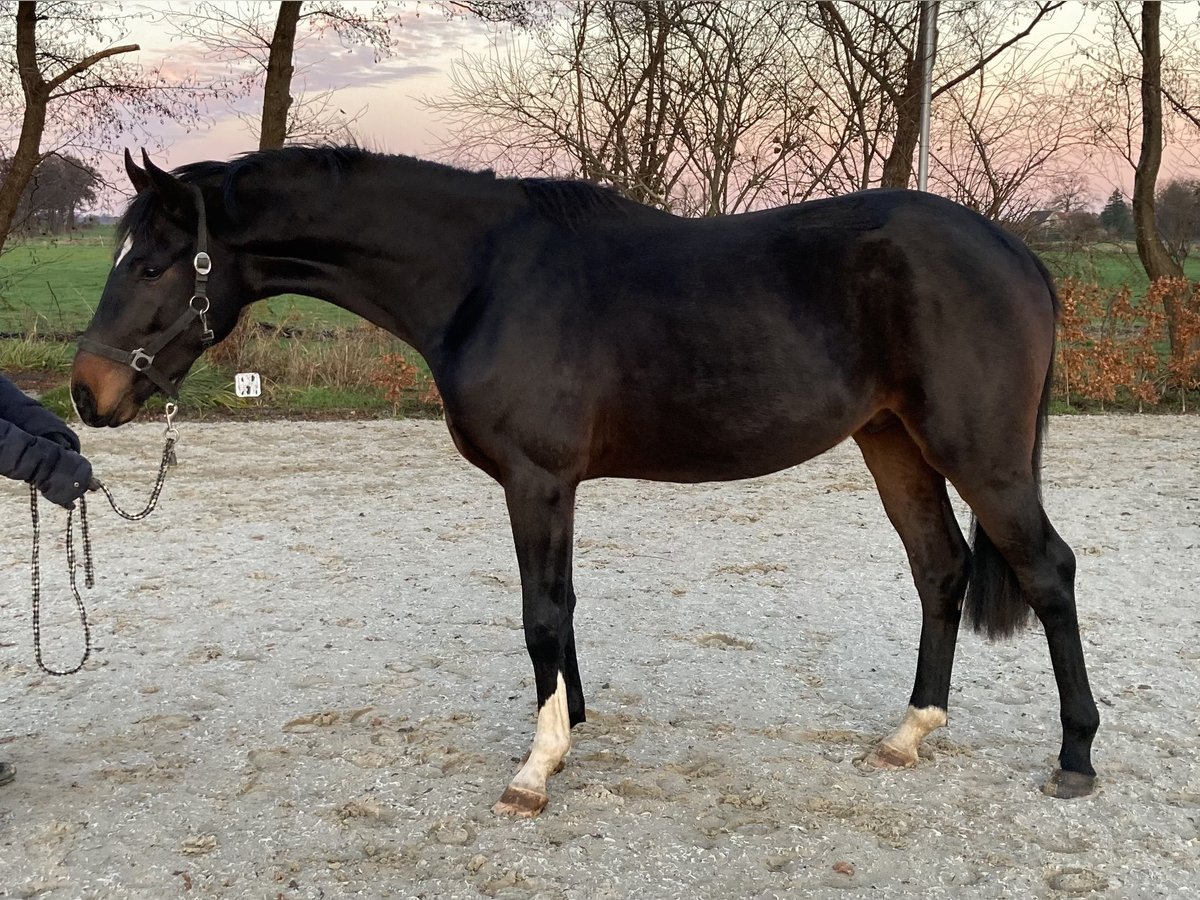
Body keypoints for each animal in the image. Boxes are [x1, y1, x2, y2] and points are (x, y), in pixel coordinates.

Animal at [68, 148, 1099, 816]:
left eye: (154, 262)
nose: (87, 393)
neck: (484, 277)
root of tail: (1014, 252)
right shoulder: (553, 486)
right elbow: (561, 606)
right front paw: (568, 729)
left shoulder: (537, 479)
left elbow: (540, 612)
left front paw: (537, 767)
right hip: (892, 442)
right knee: (941, 568)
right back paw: (910, 733)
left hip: (980, 454)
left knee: (1047, 571)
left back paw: (1076, 757)